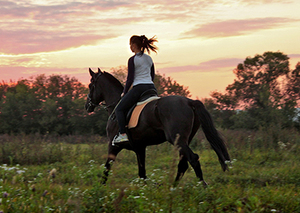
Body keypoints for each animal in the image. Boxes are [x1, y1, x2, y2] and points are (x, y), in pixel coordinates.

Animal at [85, 68, 231, 185]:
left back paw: (201, 187)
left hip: (177, 140)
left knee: (193, 159)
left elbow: (106, 169)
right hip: (184, 140)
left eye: (90, 85)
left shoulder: (113, 146)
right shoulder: (140, 148)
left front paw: (101, 190)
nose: (87, 106)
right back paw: (173, 188)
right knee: (183, 164)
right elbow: (142, 174)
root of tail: (189, 102)